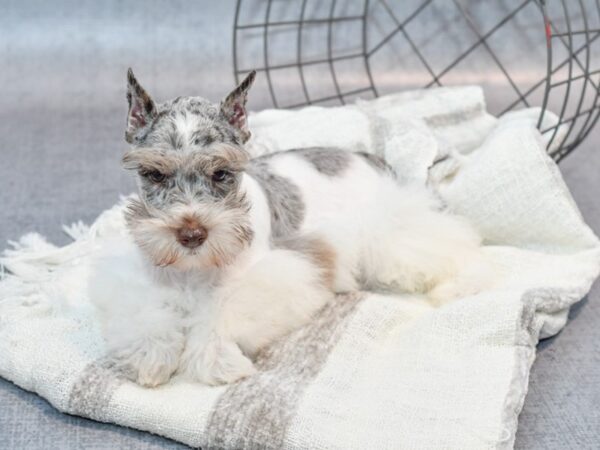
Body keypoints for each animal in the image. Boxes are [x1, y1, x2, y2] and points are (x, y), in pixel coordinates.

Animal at [90, 68, 492, 384]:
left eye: (221, 173)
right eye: (154, 174)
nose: (191, 234)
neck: (196, 272)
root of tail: (370, 159)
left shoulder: (277, 274)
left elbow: (220, 314)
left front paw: (214, 357)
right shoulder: (139, 280)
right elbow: (148, 312)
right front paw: (150, 352)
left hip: (394, 234)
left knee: (456, 248)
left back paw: (458, 286)